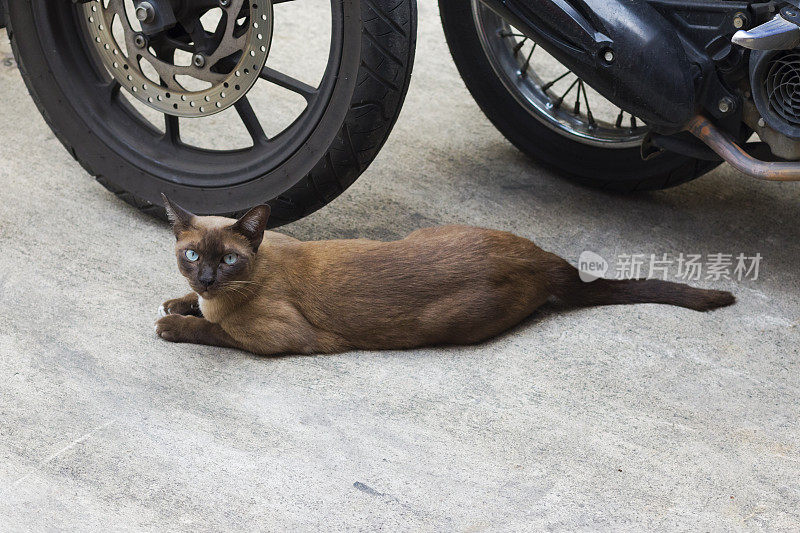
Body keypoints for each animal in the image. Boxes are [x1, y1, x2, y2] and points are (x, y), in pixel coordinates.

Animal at [156, 194, 736, 354]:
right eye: (192, 256)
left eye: (229, 259)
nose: (206, 280)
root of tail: (545, 259)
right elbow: (188, 307)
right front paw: (178, 302)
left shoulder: (280, 339)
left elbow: (214, 330)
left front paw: (174, 323)